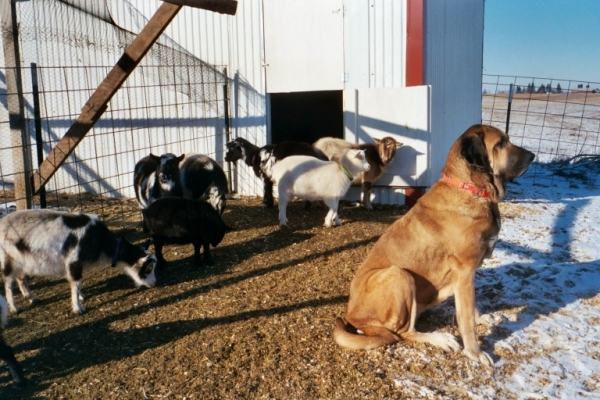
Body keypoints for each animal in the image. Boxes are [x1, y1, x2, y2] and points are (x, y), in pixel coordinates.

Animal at [0, 209, 157, 316]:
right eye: (148, 268)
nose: (154, 284)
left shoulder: (78, 264)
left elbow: (79, 284)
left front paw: (82, 297)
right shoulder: (73, 262)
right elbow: (76, 283)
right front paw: (78, 308)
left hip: (21, 260)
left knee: (20, 277)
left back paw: (32, 297)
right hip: (7, 258)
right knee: (8, 281)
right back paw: (14, 307)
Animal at [332, 124, 536, 366]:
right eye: (500, 144)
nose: (533, 156)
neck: (472, 189)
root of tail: (351, 315)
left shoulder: (466, 274)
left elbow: (472, 307)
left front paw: (483, 319)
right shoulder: (464, 270)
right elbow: (466, 316)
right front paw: (474, 352)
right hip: (400, 275)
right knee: (403, 332)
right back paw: (440, 338)